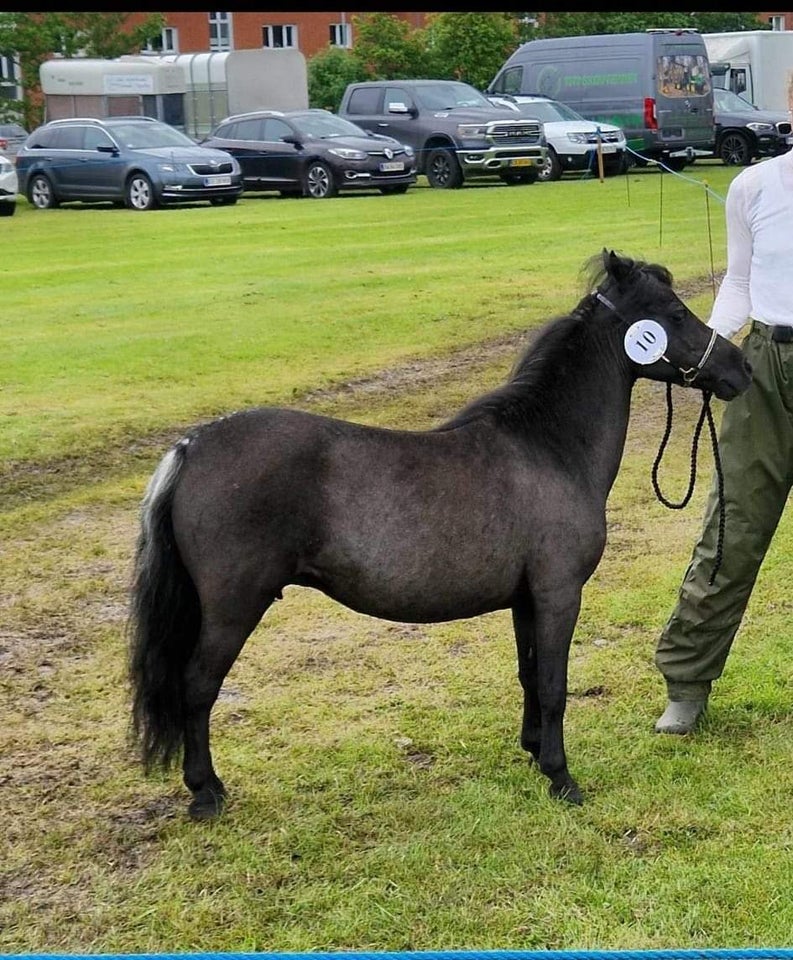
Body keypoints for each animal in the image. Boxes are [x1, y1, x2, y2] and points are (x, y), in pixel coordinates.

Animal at [127, 251, 752, 820]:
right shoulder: (558, 594)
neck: (547, 447)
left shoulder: (525, 600)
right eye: (673, 311)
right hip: (233, 607)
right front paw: (562, 778)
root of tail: (192, 447)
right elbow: (554, 684)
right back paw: (206, 793)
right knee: (197, 687)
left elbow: (529, 675)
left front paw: (533, 753)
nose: (739, 368)